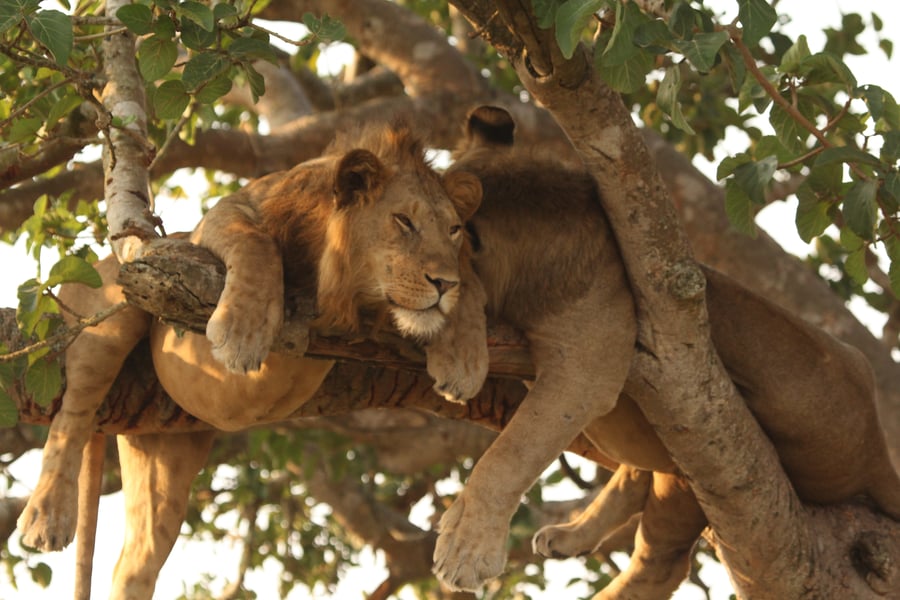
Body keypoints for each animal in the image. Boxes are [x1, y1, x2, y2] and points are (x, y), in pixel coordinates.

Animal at [16, 121, 488, 598]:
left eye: (453, 229)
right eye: (403, 221)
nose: (443, 284)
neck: (348, 292)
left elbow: (472, 281)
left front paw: (464, 356)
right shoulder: (229, 211)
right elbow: (256, 241)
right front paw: (243, 332)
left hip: (164, 456)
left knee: (134, 565)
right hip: (120, 295)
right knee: (74, 412)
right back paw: (46, 515)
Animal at [431, 106, 900, 597]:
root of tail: (877, 454)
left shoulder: (587, 368)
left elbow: (512, 452)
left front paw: (464, 550)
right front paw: (458, 359)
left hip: (702, 470)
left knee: (661, 562)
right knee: (632, 479)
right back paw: (569, 534)